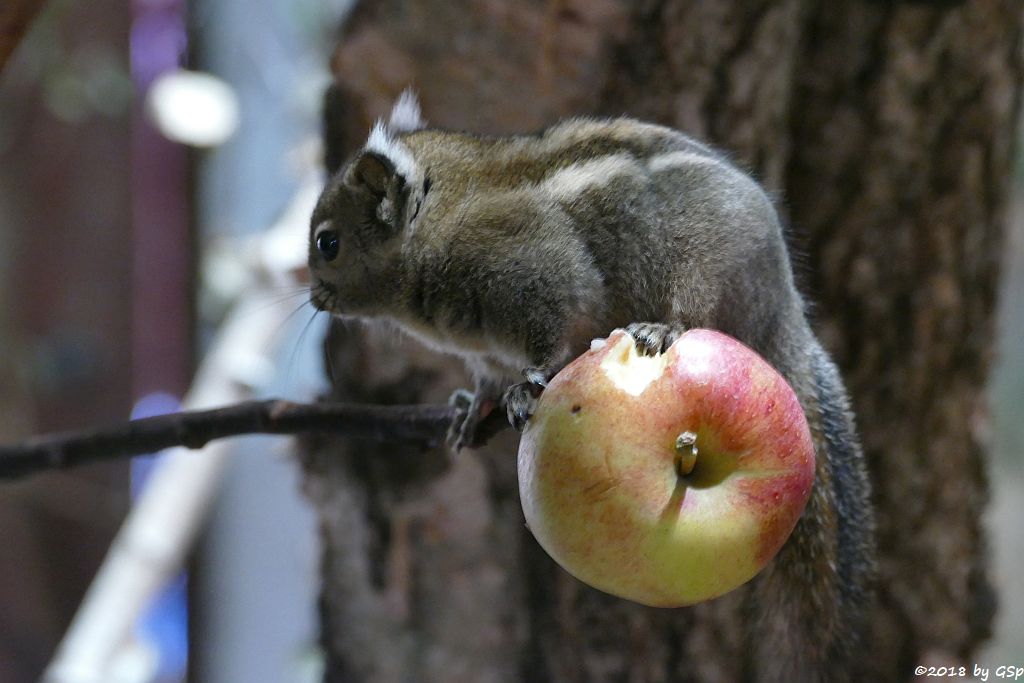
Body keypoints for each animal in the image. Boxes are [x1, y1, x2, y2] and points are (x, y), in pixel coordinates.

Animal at [307, 92, 876, 683]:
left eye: (328, 243)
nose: (317, 299)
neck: (437, 219)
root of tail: (785, 310)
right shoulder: (485, 352)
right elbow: (486, 379)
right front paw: (470, 408)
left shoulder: (536, 274)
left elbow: (552, 332)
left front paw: (527, 388)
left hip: (703, 263)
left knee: (693, 308)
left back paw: (663, 329)